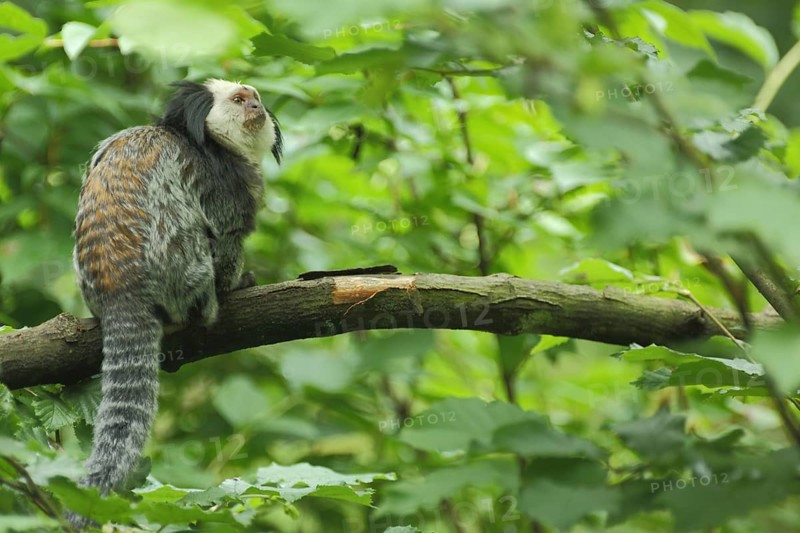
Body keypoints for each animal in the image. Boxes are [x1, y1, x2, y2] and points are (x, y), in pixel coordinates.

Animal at [70, 79, 281, 524]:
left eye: (255, 98)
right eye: (239, 100)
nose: (256, 107)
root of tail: (120, 292)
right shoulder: (223, 181)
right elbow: (227, 232)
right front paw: (235, 284)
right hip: (180, 265)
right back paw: (208, 304)